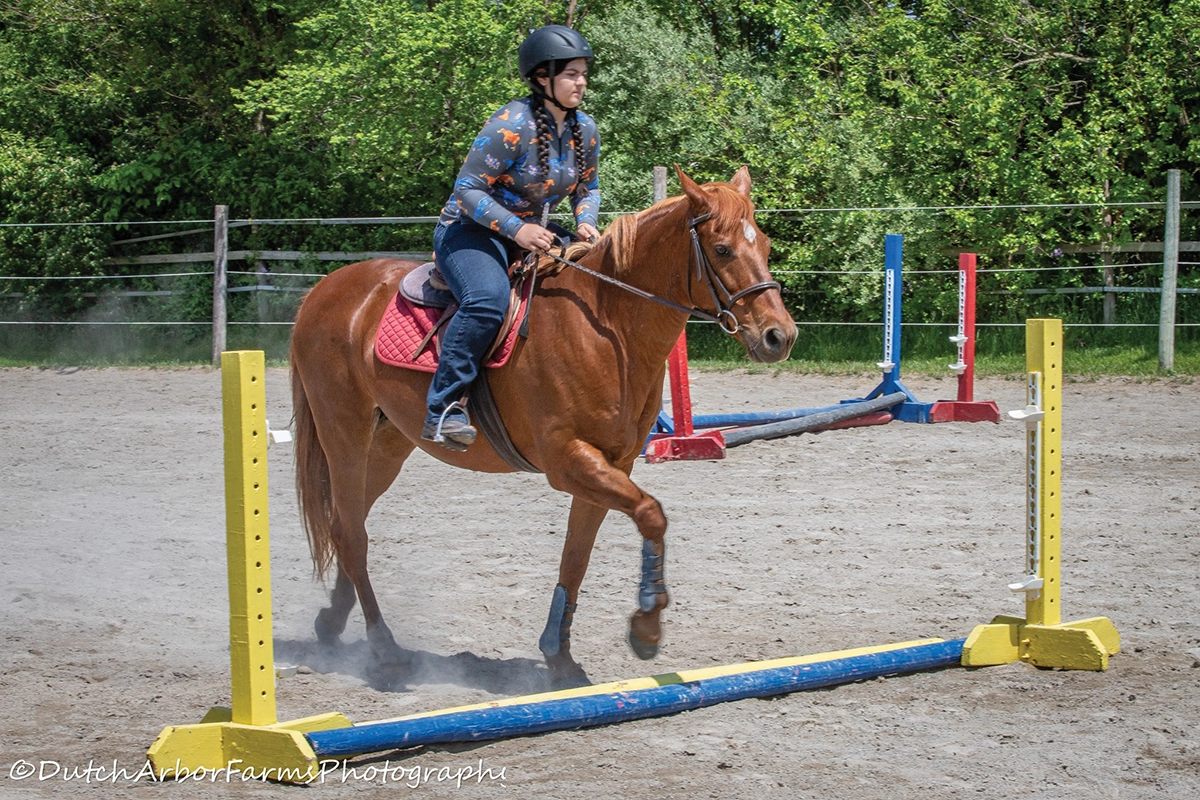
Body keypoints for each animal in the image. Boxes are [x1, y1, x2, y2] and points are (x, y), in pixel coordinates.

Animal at [290, 166, 797, 685]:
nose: (780, 336)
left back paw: (332, 624)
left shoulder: (612, 466)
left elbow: (576, 558)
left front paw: (560, 655)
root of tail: (325, 289)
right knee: (352, 534)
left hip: (388, 444)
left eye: (765, 245)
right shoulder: (568, 460)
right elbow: (652, 514)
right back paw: (384, 648)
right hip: (343, 433)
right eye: (722, 249)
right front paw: (647, 626)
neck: (608, 328)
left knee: (346, 523)